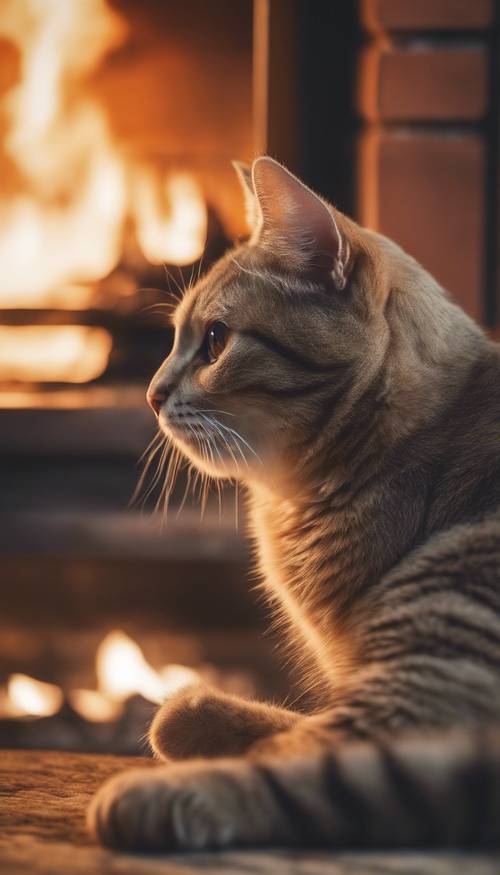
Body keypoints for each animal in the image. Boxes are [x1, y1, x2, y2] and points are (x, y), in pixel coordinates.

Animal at [88, 156, 500, 848]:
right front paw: (199, 714)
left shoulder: (421, 687)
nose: (149, 393)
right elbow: (262, 722)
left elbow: (298, 756)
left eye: (216, 341)